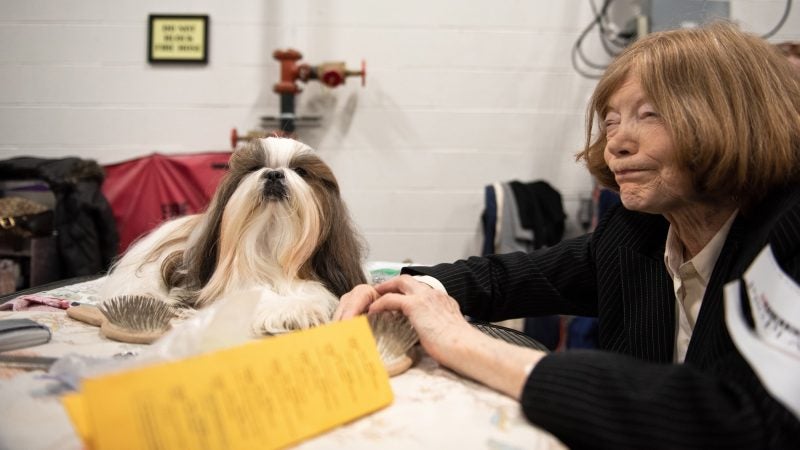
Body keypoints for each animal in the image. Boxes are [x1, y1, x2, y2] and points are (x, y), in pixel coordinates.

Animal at [97, 136, 368, 334]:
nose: (274, 173)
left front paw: (296, 308)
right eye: (255, 167)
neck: (271, 239)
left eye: (300, 171)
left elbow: (313, 293)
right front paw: (284, 310)